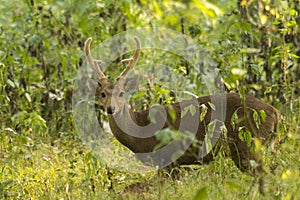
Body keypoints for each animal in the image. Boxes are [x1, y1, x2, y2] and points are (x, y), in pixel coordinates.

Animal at [84, 36, 278, 193]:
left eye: (122, 93)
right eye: (103, 94)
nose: (111, 109)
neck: (141, 132)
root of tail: (274, 113)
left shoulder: (170, 160)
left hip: (247, 144)